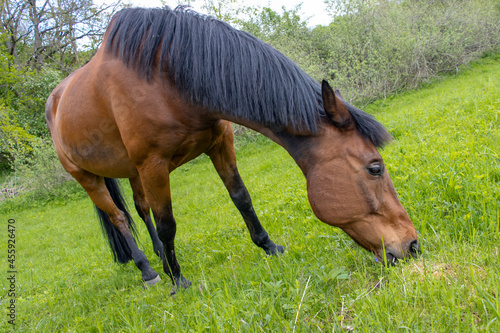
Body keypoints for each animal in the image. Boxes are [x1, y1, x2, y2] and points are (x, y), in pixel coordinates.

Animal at [47, 6, 420, 292]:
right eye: (375, 168)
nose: (413, 245)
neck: (166, 77)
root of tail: (56, 98)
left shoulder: (219, 143)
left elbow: (241, 197)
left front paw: (270, 247)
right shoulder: (154, 164)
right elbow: (168, 223)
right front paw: (178, 281)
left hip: (131, 172)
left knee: (140, 211)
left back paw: (159, 257)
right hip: (89, 178)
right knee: (120, 218)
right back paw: (149, 270)